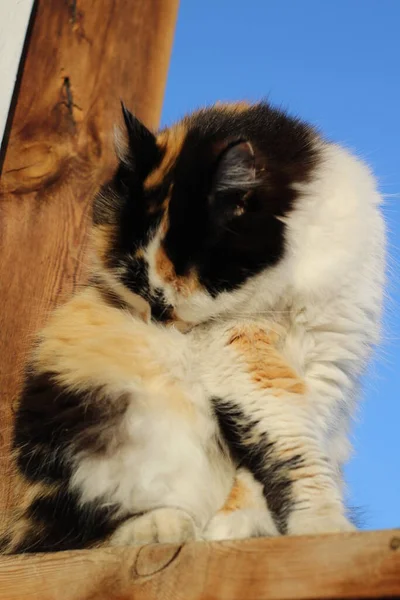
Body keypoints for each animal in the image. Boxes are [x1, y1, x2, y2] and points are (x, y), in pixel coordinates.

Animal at [1, 99, 386, 552]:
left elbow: (284, 451)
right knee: (63, 535)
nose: (159, 318)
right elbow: (290, 446)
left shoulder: (331, 358)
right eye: (134, 279)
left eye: (196, 279)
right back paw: (163, 527)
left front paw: (251, 526)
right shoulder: (241, 360)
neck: (288, 286)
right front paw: (318, 527)